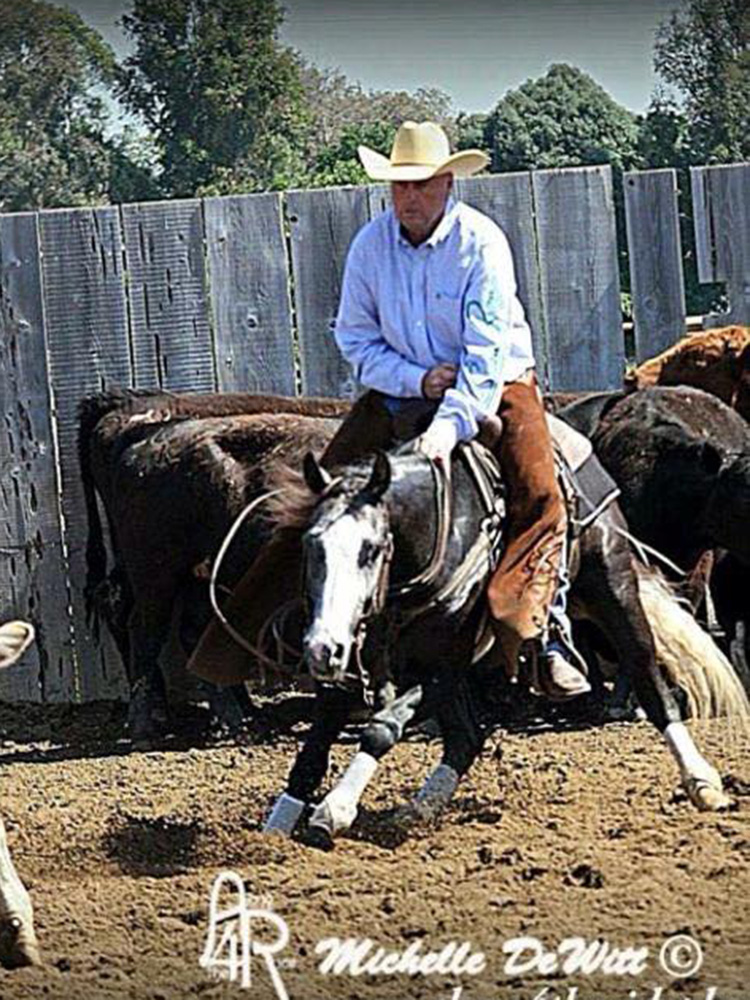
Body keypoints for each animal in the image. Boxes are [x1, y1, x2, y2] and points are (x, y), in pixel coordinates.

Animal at [261, 444, 749, 850]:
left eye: (370, 548)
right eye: (311, 545)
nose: (319, 647)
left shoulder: (442, 665)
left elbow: (381, 726)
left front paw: (334, 810)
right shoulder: (352, 657)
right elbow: (316, 744)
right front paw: (277, 827)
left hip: (614, 590)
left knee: (649, 676)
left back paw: (702, 782)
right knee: (465, 737)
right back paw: (416, 811)